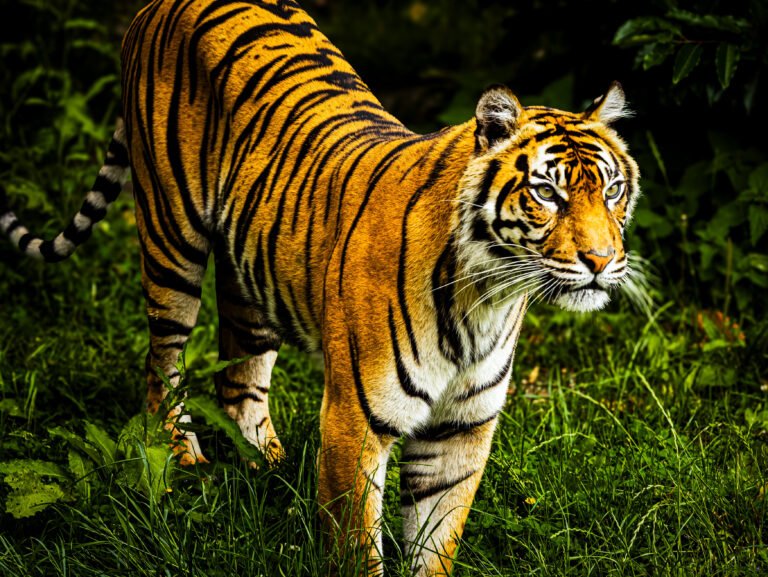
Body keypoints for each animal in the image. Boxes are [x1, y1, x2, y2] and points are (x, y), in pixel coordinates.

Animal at [0, 0, 641, 574]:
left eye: (611, 190)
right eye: (548, 193)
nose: (602, 260)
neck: (485, 299)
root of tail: (156, 4)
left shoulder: (461, 433)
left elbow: (436, 546)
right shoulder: (355, 424)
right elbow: (358, 550)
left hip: (253, 270)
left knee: (240, 377)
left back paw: (264, 464)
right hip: (170, 237)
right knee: (162, 363)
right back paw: (181, 456)